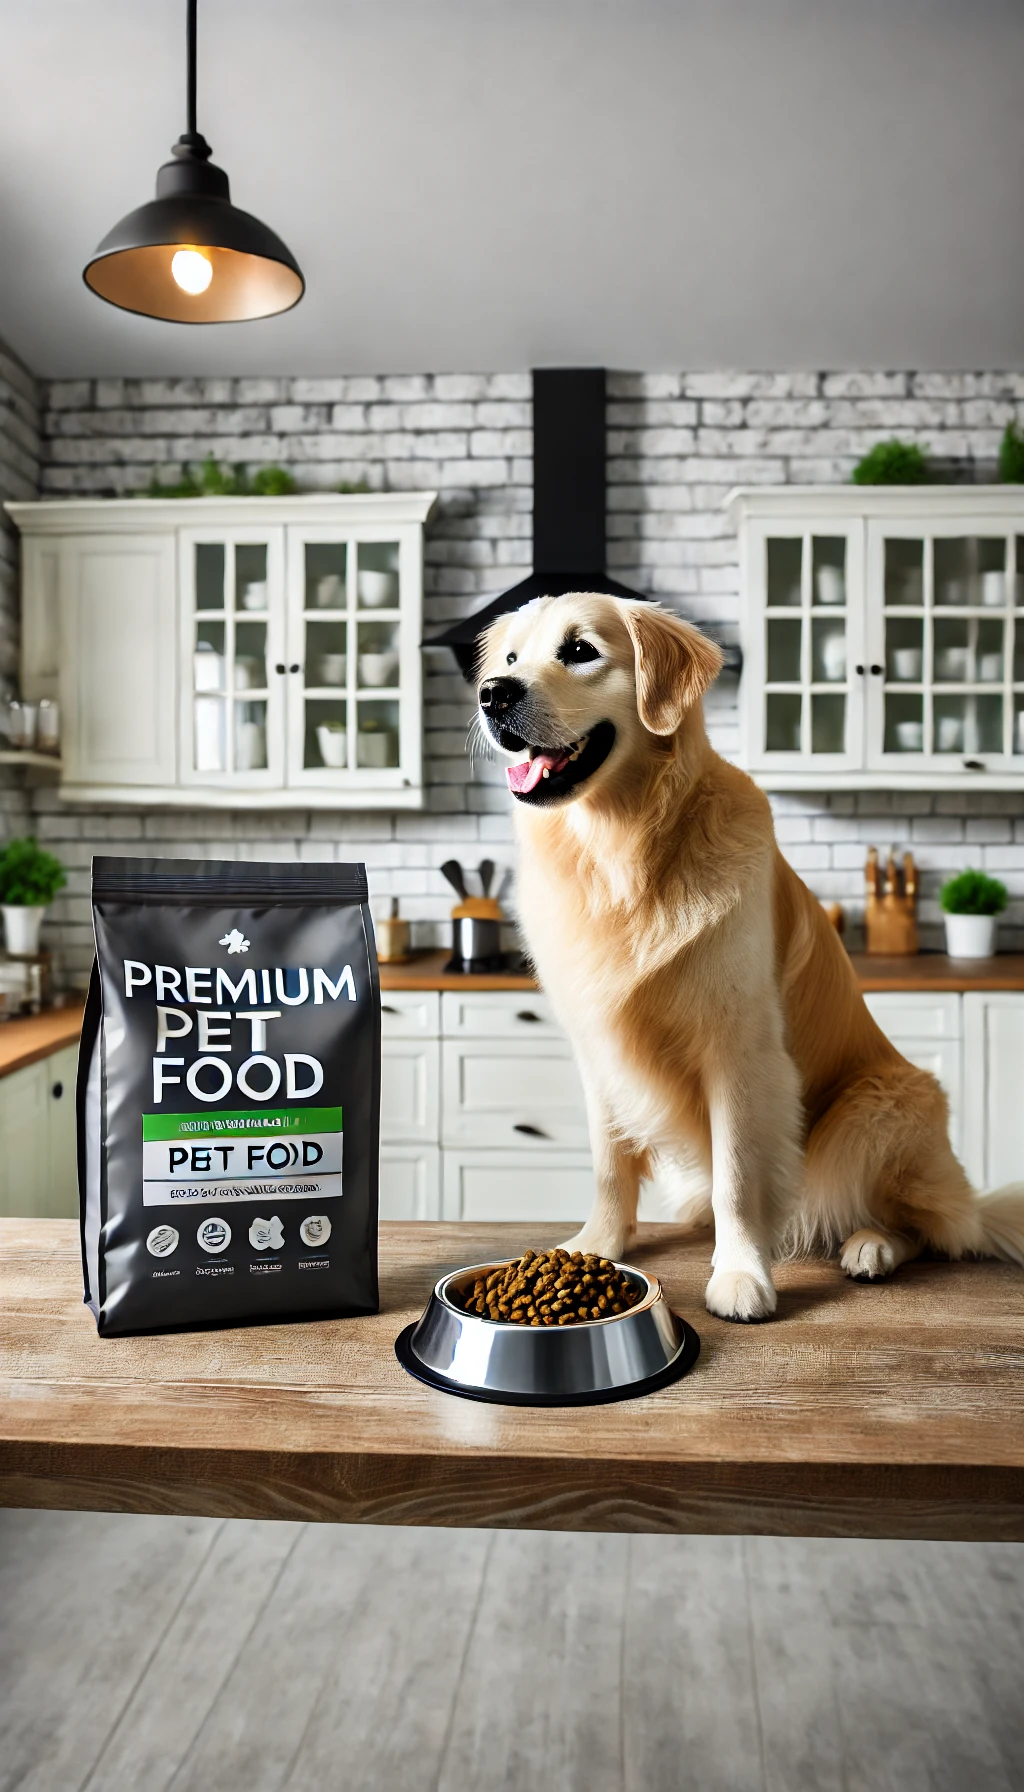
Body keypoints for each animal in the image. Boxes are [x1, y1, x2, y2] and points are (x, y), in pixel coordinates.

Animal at [477, 594, 1024, 1326]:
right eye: (511, 657)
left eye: (581, 651)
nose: (493, 693)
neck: (623, 851)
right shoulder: (599, 1048)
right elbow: (609, 1164)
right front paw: (596, 1245)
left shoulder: (739, 1050)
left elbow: (738, 1175)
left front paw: (740, 1275)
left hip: (878, 1107)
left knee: (928, 1226)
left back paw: (871, 1246)